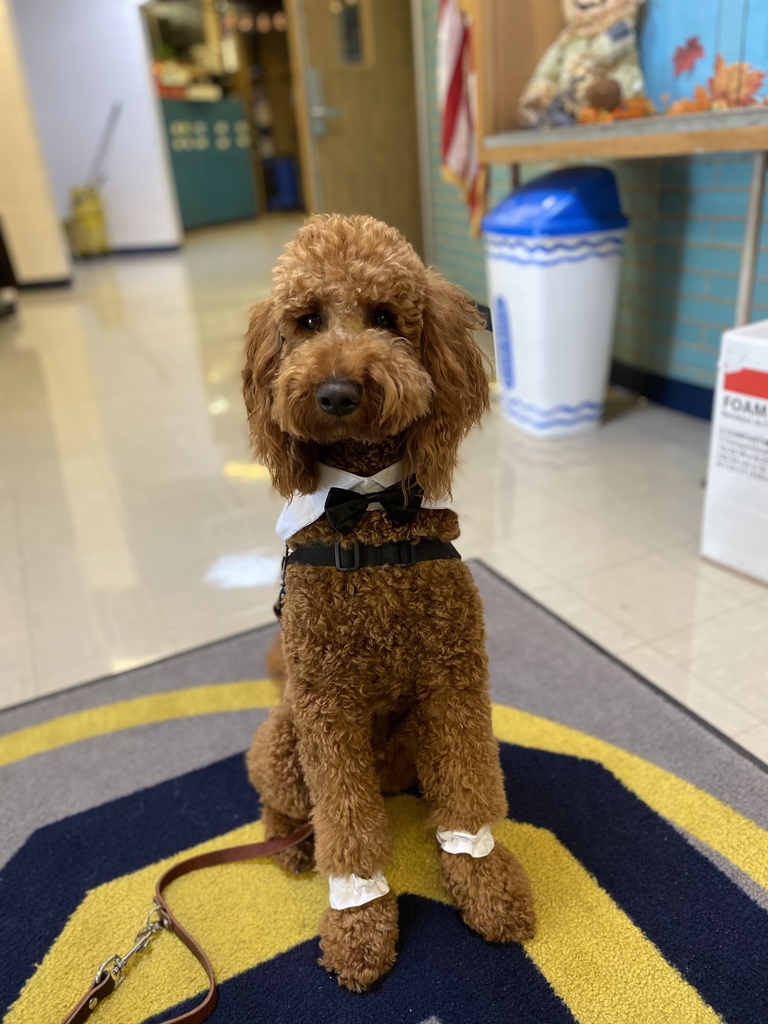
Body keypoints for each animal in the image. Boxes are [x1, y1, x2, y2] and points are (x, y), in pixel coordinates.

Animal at [241, 214, 536, 991]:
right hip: (282, 741)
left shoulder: (454, 683)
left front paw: (484, 884)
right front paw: (358, 925)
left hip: (407, 737)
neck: (369, 510)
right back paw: (289, 844)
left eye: (384, 318)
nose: (338, 391)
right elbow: (347, 829)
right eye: (307, 322)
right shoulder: (327, 709)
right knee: (285, 806)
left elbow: (469, 792)